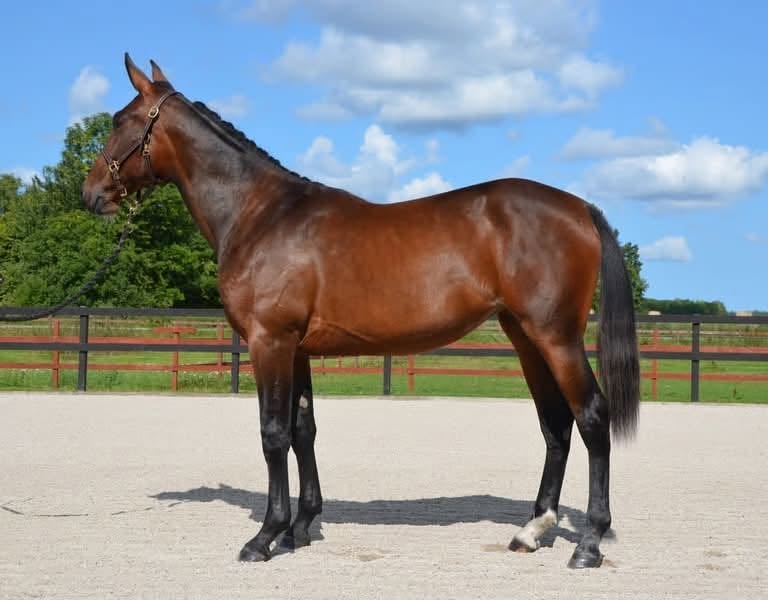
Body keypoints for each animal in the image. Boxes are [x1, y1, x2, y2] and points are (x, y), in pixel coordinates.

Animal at [82, 54, 639, 569]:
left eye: (119, 120)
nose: (90, 194)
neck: (260, 215)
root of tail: (579, 208)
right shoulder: (296, 349)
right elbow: (302, 431)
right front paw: (300, 528)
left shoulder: (269, 341)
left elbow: (272, 433)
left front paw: (265, 536)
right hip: (524, 337)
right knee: (555, 425)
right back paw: (532, 530)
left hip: (555, 337)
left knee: (591, 418)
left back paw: (588, 543)